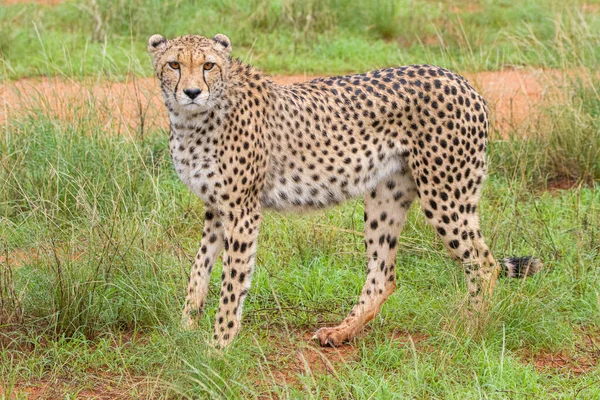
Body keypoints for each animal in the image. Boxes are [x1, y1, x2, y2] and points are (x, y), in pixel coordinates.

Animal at [148, 33, 540, 346]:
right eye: (174, 64)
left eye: (209, 65)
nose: (192, 92)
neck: (193, 121)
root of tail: (461, 80)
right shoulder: (216, 207)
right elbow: (199, 269)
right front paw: (185, 330)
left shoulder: (242, 210)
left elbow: (232, 283)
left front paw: (218, 347)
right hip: (387, 193)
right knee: (384, 273)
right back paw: (340, 332)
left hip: (446, 193)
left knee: (483, 263)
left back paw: (468, 329)